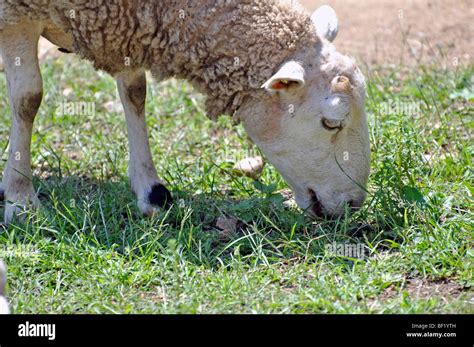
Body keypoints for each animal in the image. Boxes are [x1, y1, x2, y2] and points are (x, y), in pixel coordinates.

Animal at [0, 0, 370, 223]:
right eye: (331, 123)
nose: (353, 203)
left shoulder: (125, 26)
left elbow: (135, 94)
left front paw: (151, 191)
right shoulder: (18, 14)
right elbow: (28, 99)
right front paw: (21, 199)